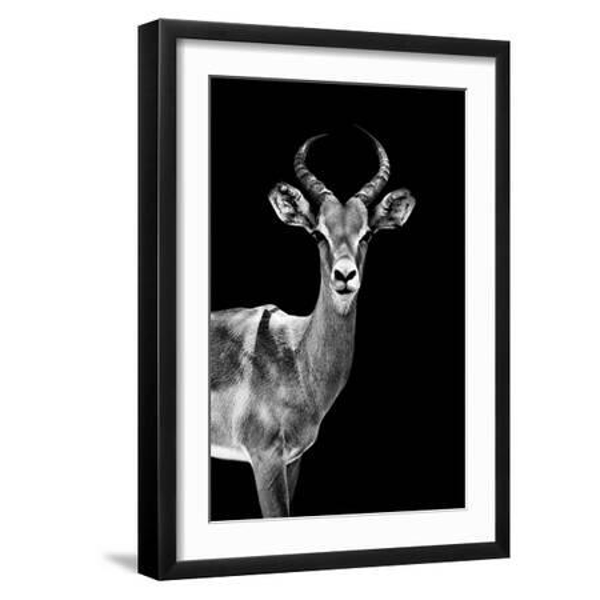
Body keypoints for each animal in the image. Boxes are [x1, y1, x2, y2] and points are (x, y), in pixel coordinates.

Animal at [210, 129, 416, 518]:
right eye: (318, 233)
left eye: (367, 234)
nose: (345, 276)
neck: (294, 355)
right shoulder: (265, 459)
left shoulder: (293, 460)